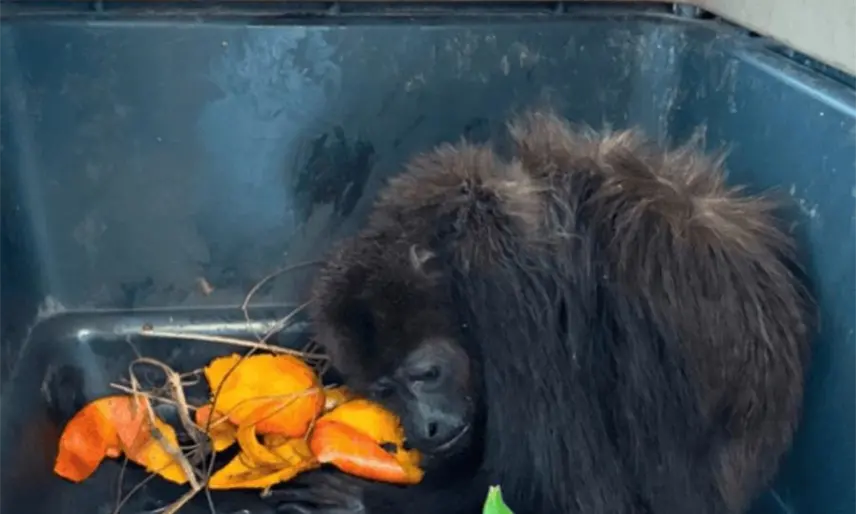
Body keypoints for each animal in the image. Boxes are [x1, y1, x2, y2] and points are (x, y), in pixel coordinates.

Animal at [264, 111, 811, 514]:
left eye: (426, 374)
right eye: (384, 391)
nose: (427, 428)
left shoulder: (510, 293)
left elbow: (572, 492)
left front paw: (361, 501)